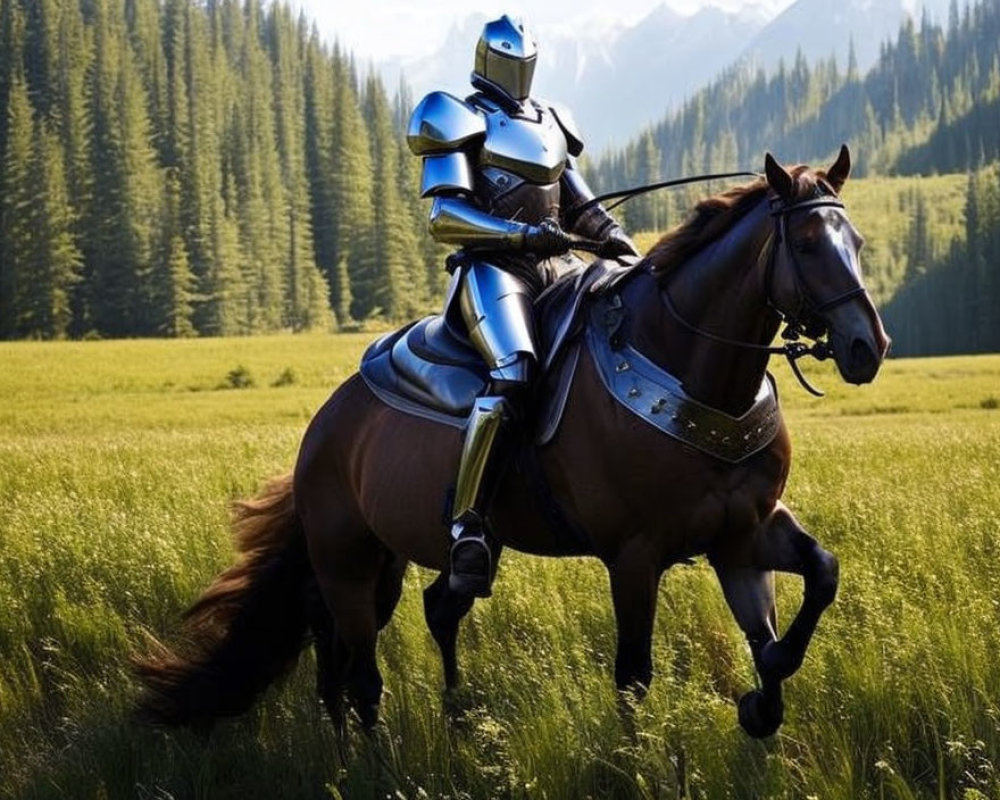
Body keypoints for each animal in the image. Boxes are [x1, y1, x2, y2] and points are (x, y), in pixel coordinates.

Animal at [135, 145, 892, 736]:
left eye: (855, 244)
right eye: (805, 244)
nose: (867, 347)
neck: (692, 368)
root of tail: (324, 431)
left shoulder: (741, 535)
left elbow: (810, 589)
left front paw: (762, 703)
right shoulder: (635, 557)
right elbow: (634, 676)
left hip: (400, 557)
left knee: (417, 620)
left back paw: (452, 721)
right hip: (348, 563)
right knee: (360, 677)